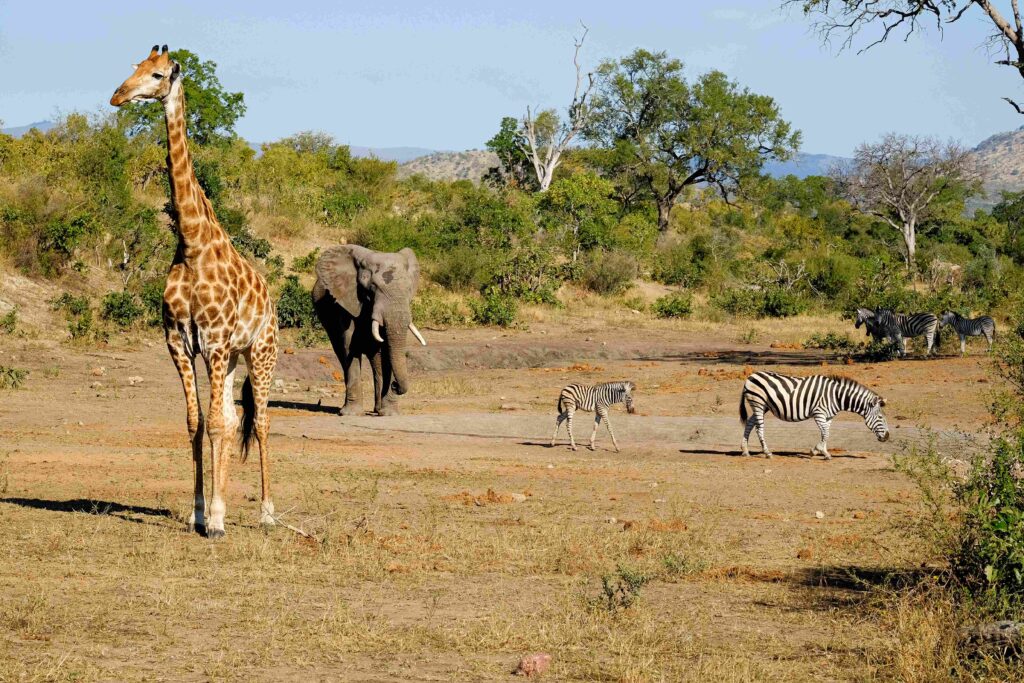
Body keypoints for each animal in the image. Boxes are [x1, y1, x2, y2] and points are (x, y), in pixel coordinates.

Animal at [110, 46, 278, 540]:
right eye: (135, 69)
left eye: (159, 74)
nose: (117, 96)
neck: (190, 244)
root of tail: (272, 300)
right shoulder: (179, 342)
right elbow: (198, 422)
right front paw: (200, 512)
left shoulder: (215, 343)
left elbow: (219, 425)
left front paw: (218, 520)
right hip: (236, 357)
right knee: (234, 416)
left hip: (260, 351)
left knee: (261, 421)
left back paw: (267, 513)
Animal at [309, 245, 425, 417]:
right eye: (373, 288)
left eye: (409, 289)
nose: (395, 386)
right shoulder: (346, 302)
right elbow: (350, 348)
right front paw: (351, 414)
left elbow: (388, 349)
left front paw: (390, 414)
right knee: (342, 354)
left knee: (376, 360)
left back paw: (378, 409)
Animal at [737, 370, 888, 462]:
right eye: (880, 418)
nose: (887, 437)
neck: (836, 396)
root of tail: (751, 376)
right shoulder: (819, 413)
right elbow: (825, 434)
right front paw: (815, 451)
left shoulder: (828, 417)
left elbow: (826, 434)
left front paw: (824, 453)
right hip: (758, 403)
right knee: (759, 428)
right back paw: (767, 452)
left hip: (763, 406)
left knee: (750, 423)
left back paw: (745, 450)